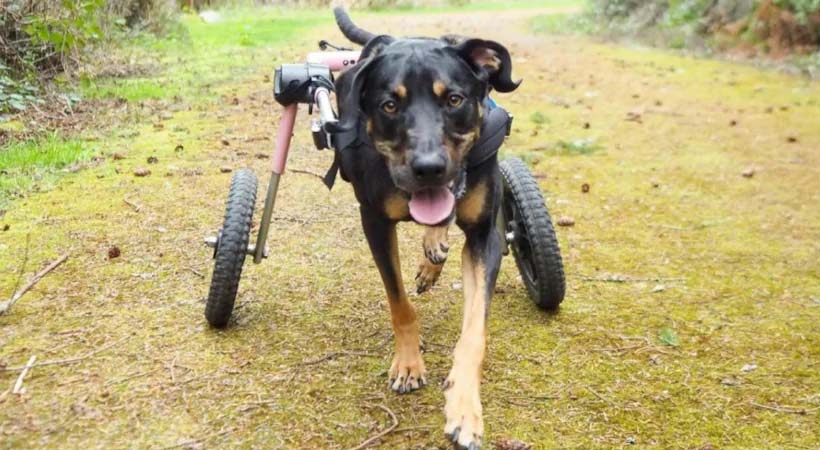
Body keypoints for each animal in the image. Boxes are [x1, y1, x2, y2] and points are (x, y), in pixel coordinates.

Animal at [330, 8, 524, 448]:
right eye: (389, 105)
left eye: (454, 99)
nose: (429, 168)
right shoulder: (374, 222)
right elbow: (399, 303)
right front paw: (408, 363)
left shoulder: (485, 236)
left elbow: (474, 331)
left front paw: (464, 408)